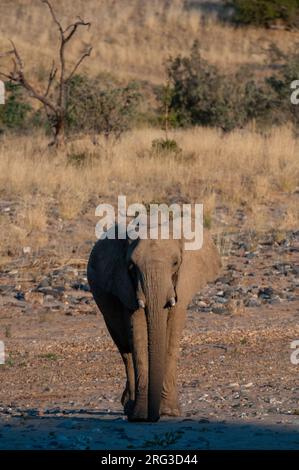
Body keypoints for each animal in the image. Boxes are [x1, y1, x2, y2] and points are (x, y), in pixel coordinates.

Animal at [88, 220, 221, 422]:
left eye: (175, 263)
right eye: (131, 266)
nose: (154, 417)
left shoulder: (182, 284)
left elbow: (172, 334)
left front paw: (168, 412)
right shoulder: (127, 286)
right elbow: (138, 335)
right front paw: (140, 415)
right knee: (125, 350)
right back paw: (129, 407)